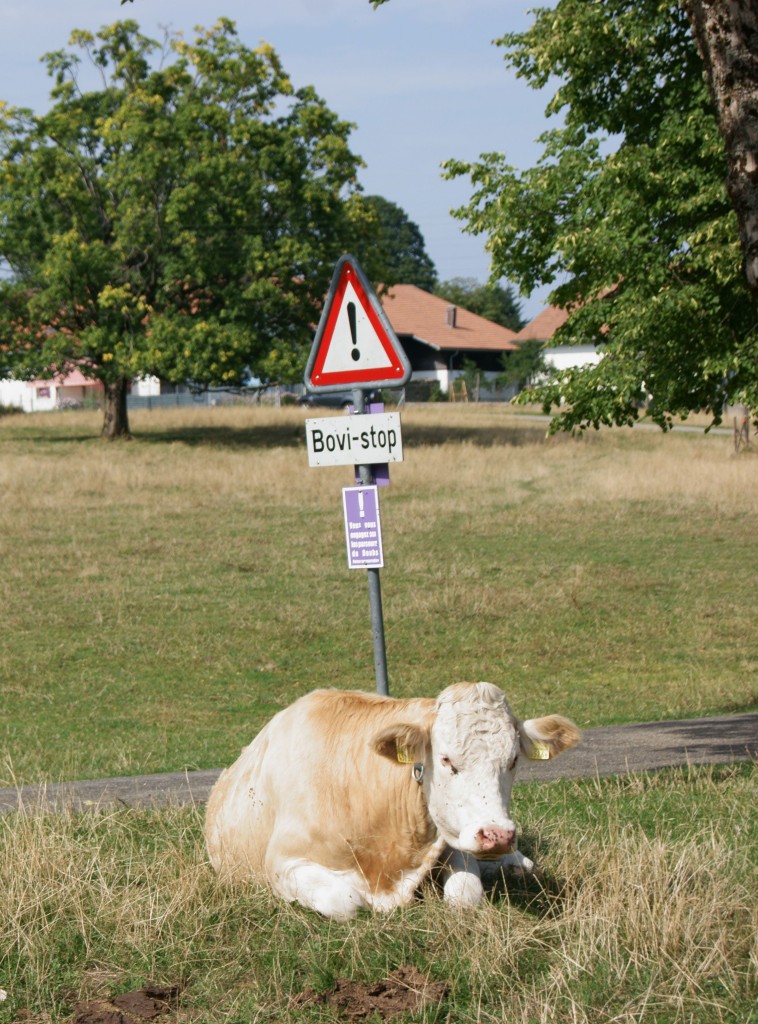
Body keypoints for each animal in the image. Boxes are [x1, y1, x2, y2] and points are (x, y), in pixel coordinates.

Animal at [203, 679, 577, 921]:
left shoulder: (450, 838)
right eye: (446, 759)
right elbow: (345, 900)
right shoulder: (282, 864)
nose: (497, 835)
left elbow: (465, 895)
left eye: (513, 760)